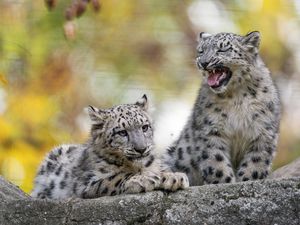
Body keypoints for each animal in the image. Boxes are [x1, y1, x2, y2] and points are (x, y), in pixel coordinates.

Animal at [31, 95, 189, 199]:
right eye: (122, 132)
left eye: (144, 127)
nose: (141, 149)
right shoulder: (85, 183)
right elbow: (115, 177)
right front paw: (145, 179)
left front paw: (175, 177)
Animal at [163, 31, 280, 186]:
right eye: (201, 51)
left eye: (223, 49)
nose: (203, 62)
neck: (236, 97)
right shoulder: (210, 130)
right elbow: (216, 162)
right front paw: (224, 182)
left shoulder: (263, 131)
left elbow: (256, 162)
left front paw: (247, 180)